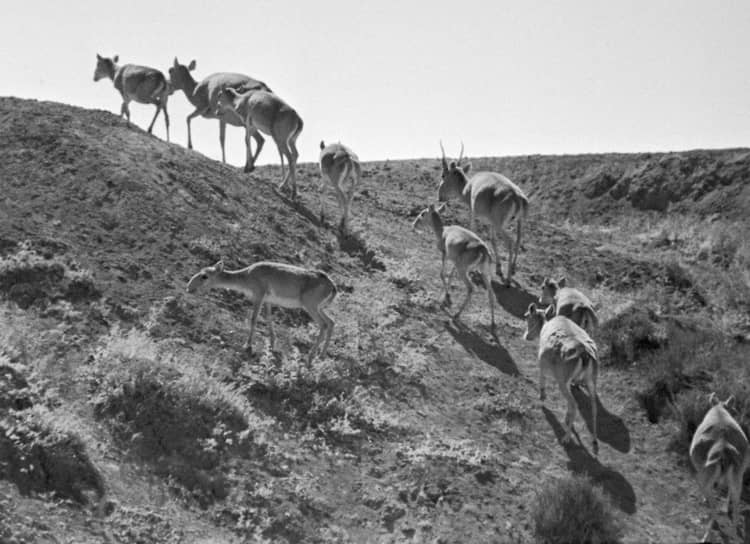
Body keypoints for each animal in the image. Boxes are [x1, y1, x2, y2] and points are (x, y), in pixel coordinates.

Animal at [188, 260, 338, 366]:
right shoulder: (268, 301)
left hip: (311, 306)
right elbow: (268, 318)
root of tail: (332, 285)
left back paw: (311, 357)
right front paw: (272, 344)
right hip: (319, 308)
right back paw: (321, 355)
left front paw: (247, 345)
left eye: (204, 276)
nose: (188, 287)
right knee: (331, 322)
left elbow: (254, 318)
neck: (247, 276)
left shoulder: (258, 296)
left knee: (324, 325)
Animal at [438, 142, 532, 284]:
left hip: (500, 225)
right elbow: (493, 239)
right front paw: (498, 267)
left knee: (510, 242)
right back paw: (513, 269)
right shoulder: (490, 221)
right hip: (519, 222)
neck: (468, 188)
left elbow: (473, 230)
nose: (439, 196)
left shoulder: (473, 213)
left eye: (443, 175)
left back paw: (508, 280)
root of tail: (517, 196)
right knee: (518, 239)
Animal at [524, 304, 604, 456]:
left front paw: (542, 397)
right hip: (592, 379)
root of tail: (585, 355)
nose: (526, 336)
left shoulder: (541, 362)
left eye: (527, 318)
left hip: (563, 379)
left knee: (574, 404)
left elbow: (542, 378)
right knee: (594, 406)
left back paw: (566, 437)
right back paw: (595, 442)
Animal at [692, 394, 750, 540]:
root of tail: (724, 449)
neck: (719, 410)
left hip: (707, 480)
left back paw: (706, 534)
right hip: (738, 478)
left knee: (713, 504)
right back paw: (733, 533)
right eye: (734, 409)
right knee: (736, 506)